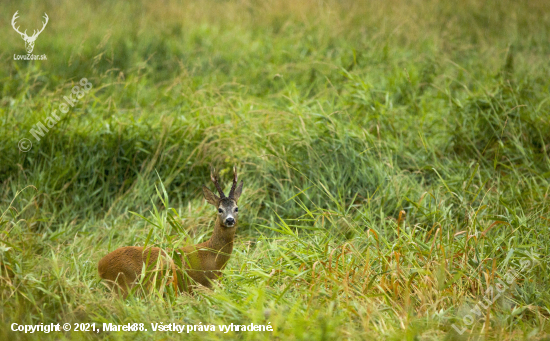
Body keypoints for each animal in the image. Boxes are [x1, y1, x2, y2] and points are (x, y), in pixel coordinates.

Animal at [98, 169, 244, 296]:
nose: (230, 220)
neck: (212, 257)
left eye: (236, 208)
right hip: (123, 286)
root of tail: (100, 266)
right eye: (220, 209)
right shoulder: (196, 285)